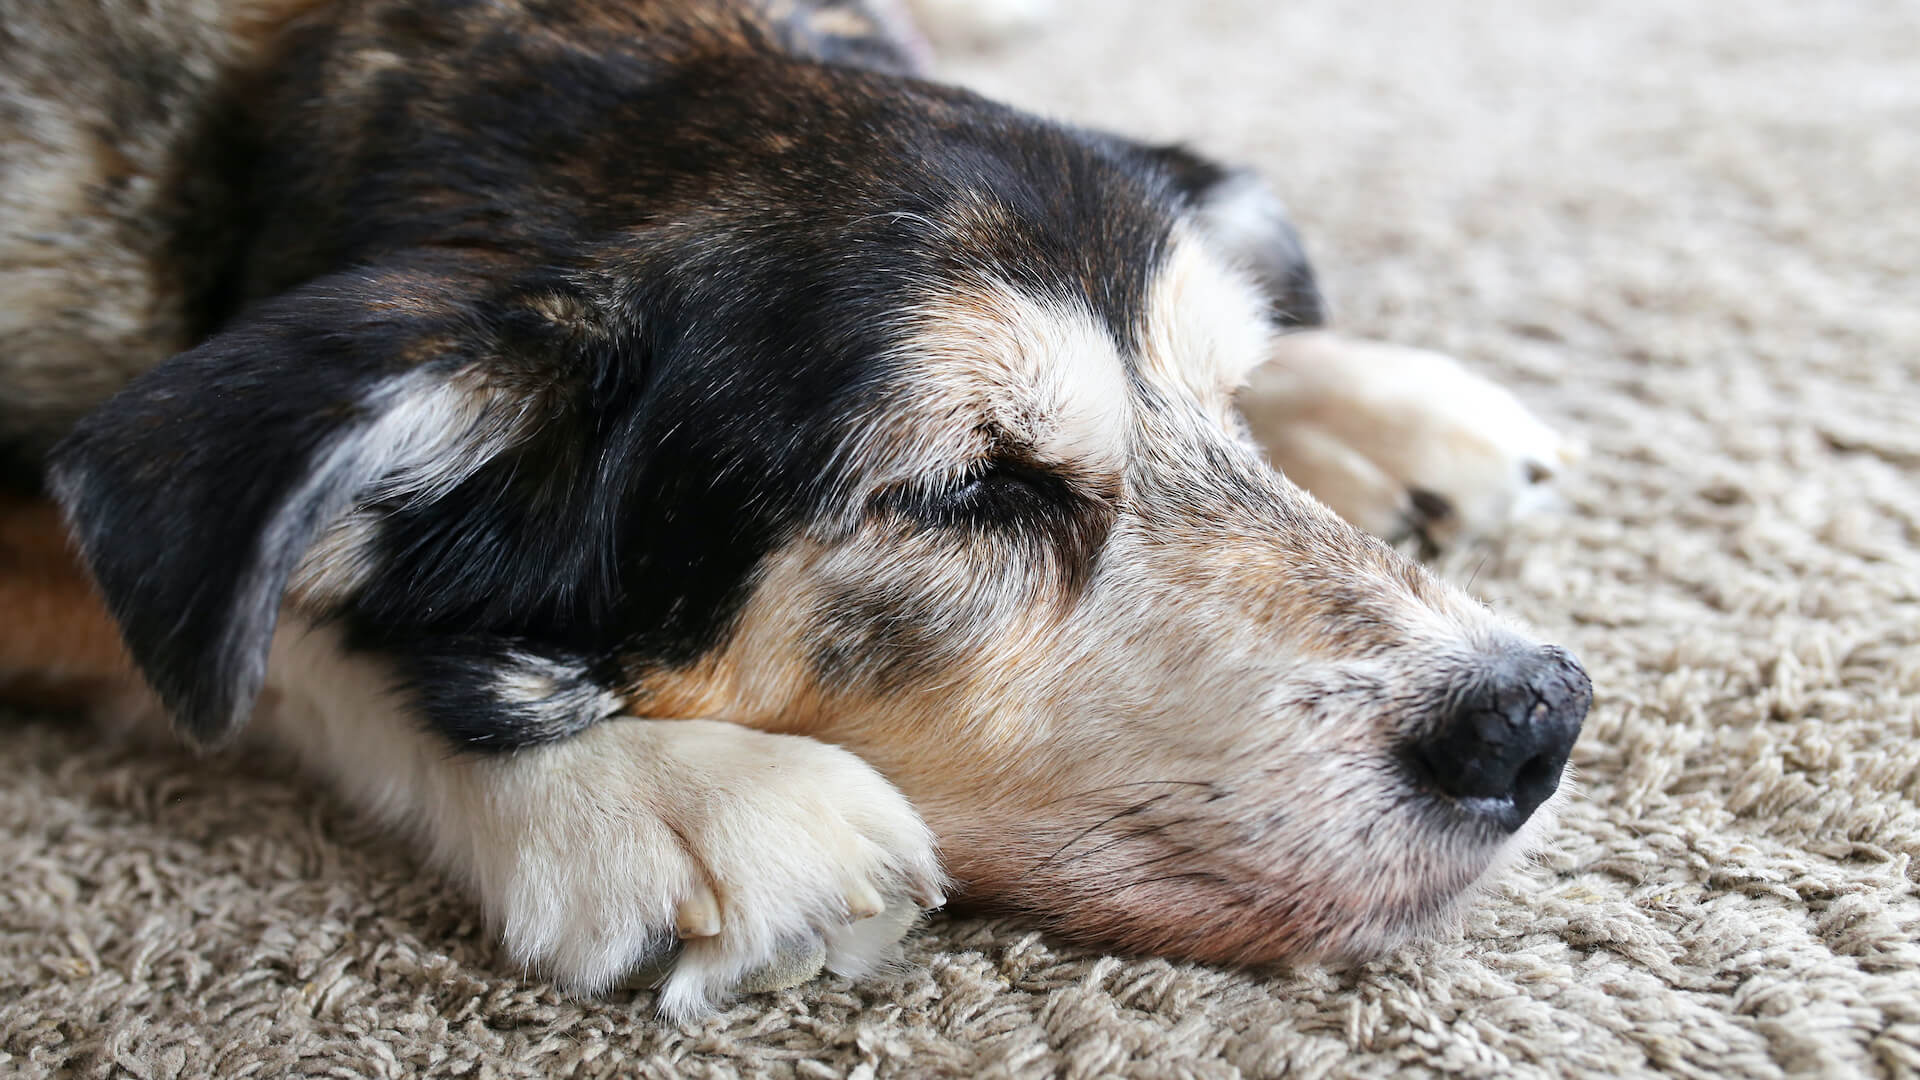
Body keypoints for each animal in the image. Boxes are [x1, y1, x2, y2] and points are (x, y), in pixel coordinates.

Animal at [0, 0, 1589, 1014]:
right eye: (971, 492)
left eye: (1228, 401)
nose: (1537, 718)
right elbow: (265, 619)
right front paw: (648, 790)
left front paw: (1354, 391)